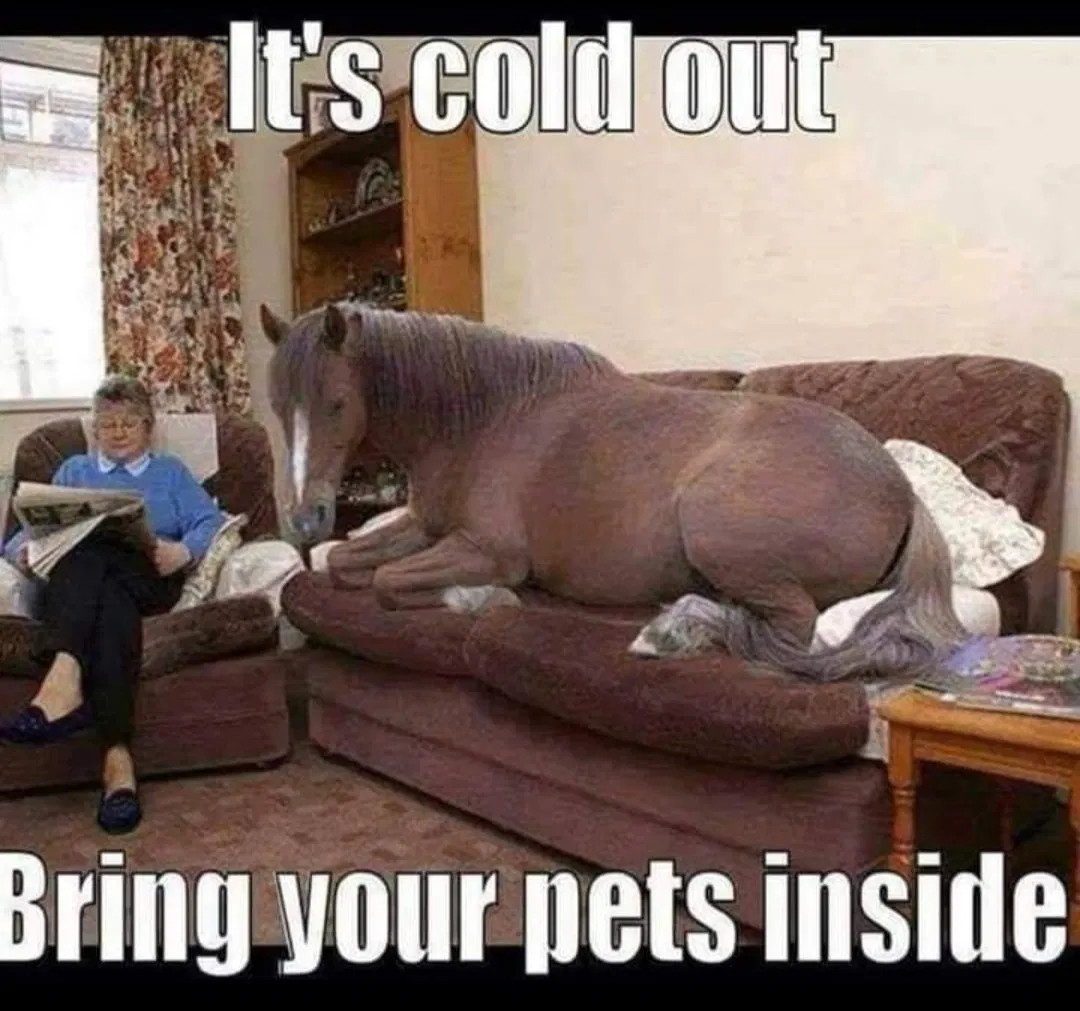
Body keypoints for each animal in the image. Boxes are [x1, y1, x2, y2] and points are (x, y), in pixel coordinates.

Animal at [259, 298, 968, 683]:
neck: (486, 420)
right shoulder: (426, 528)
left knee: (790, 632)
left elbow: (385, 584)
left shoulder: (485, 549)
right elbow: (346, 565)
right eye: (276, 403)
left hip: (714, 527)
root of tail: (900, 488)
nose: (305, 519)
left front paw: (480, 600)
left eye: (336, 403)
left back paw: (666, 636)